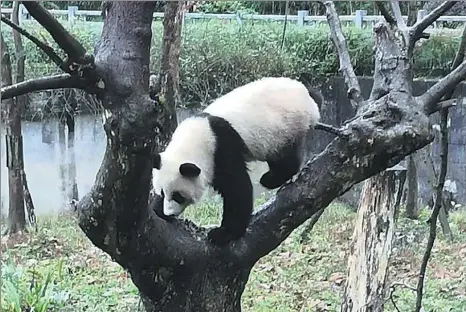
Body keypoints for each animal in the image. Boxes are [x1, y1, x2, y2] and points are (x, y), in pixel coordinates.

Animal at [151, 75, 322, 246]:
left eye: (178, 195)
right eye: (162, 192)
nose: (169, 213)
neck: (194, 139)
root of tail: (308, 96)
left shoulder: (221, 148)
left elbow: (237, 187)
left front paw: (223, 233)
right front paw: (158, 209)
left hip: (286, 129)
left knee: (285, 160)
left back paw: (270, 179)